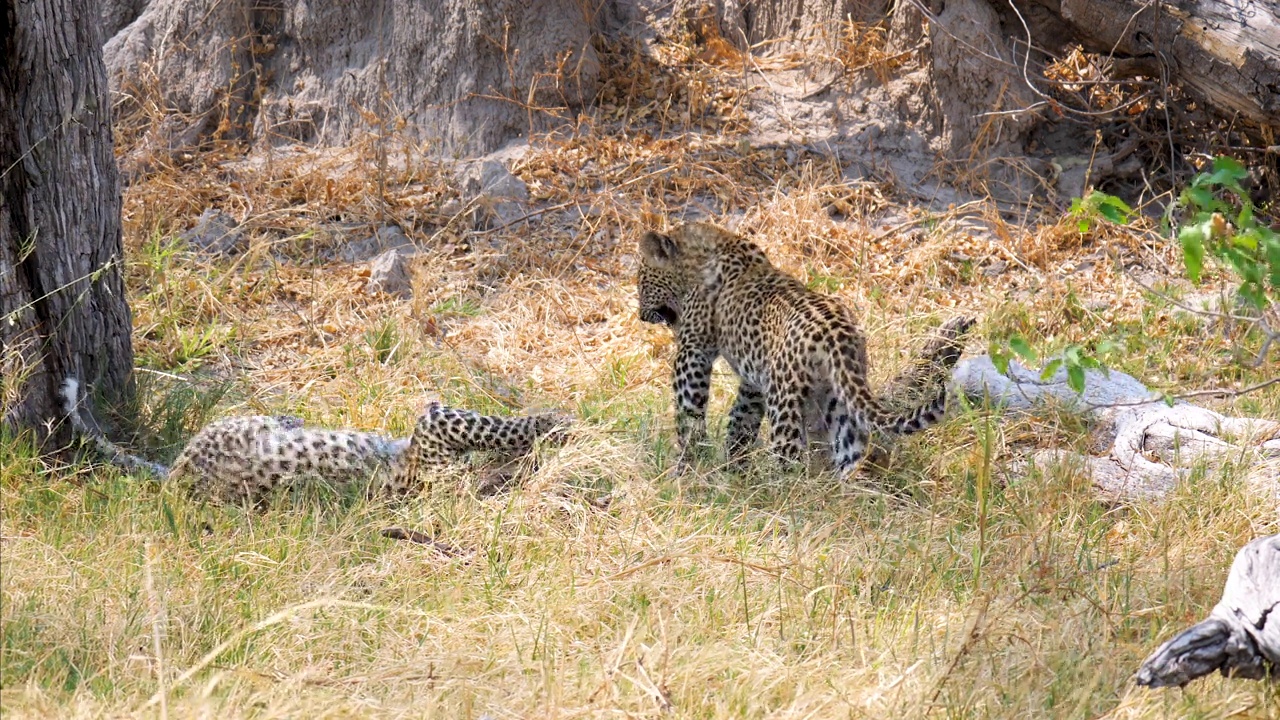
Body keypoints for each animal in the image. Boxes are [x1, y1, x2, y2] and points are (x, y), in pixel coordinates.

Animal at [634, 219, 972, 476]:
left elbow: (688, 409)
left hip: (784, 399)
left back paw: (779, 496)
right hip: (837, 398)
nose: (641, 315)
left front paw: (690, 460)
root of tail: (837, 332)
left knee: (790, 457)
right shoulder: (754, 379)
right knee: (849, 452)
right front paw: (733, 460)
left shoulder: (693, 352)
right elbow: (742, 417)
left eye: (641, 281)